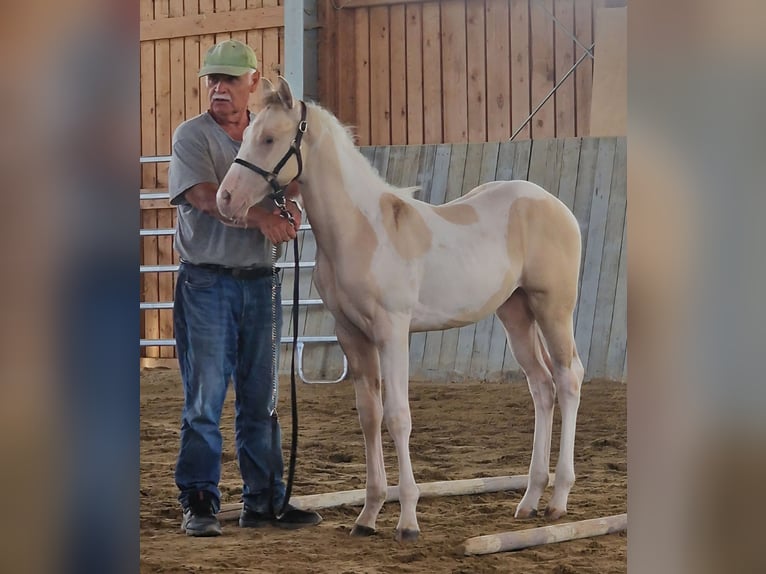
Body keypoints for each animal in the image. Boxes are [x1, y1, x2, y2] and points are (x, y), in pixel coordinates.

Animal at [216, 77, 585, 542]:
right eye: (246, 133)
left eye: (268, 138)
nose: (225, 199)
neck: (361, 230)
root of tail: (556, 205)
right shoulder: (351, 335)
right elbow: (370, 416)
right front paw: (368, 515)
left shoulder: (392, 332)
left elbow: (398, 417)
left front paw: (408, 520)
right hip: (515, 313)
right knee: (541, 387)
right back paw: (530, 500)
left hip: (553, 307)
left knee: (568, 379)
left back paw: (559, 500)